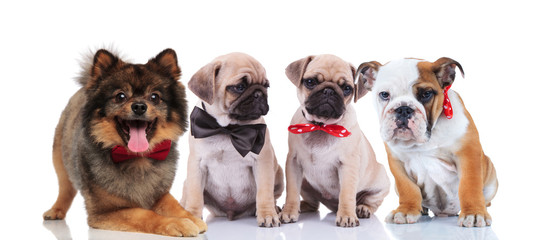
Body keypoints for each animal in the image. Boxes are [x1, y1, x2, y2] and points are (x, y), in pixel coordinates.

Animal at [43, 48, 208, 236]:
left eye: (154, 97)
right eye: (120, 96)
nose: (139, 106)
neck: (137, 158)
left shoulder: (159, 194)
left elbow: (174, 205)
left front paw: (191, 217)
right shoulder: (106, 211)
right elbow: (146, 214)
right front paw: (176, 223)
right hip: (60, 161)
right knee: (65, 189)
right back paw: (56, 210)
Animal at [180, 52, 284, 227]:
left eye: (266, 86)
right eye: (239, 87)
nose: (259, 93)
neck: (228, 129)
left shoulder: (262, 162)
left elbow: (264, 193)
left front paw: (268, 214)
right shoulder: (196, 165)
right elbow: (195, 196)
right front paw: (192, 216)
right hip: (186, 182)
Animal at [280, 54, 390, 227]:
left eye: (347, 89)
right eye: (310, 82)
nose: (329, 90)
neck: (321, 126)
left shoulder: (347, 166)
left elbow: (346, 194)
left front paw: (347, 216)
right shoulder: (293, 163)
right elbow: (291, 191)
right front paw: (289, 211)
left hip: (381, 182)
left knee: (371, 201)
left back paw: (362, 208)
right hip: (305, 183)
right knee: (313, 203)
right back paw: (299, 207)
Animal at [360, 57, 500, 227]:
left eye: (426, 94)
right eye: (384, 94)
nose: (403, 109)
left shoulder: (468, 154)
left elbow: (470, 186)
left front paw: (473, 213)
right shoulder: (397, 162)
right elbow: (407, 188)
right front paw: (405, 211)